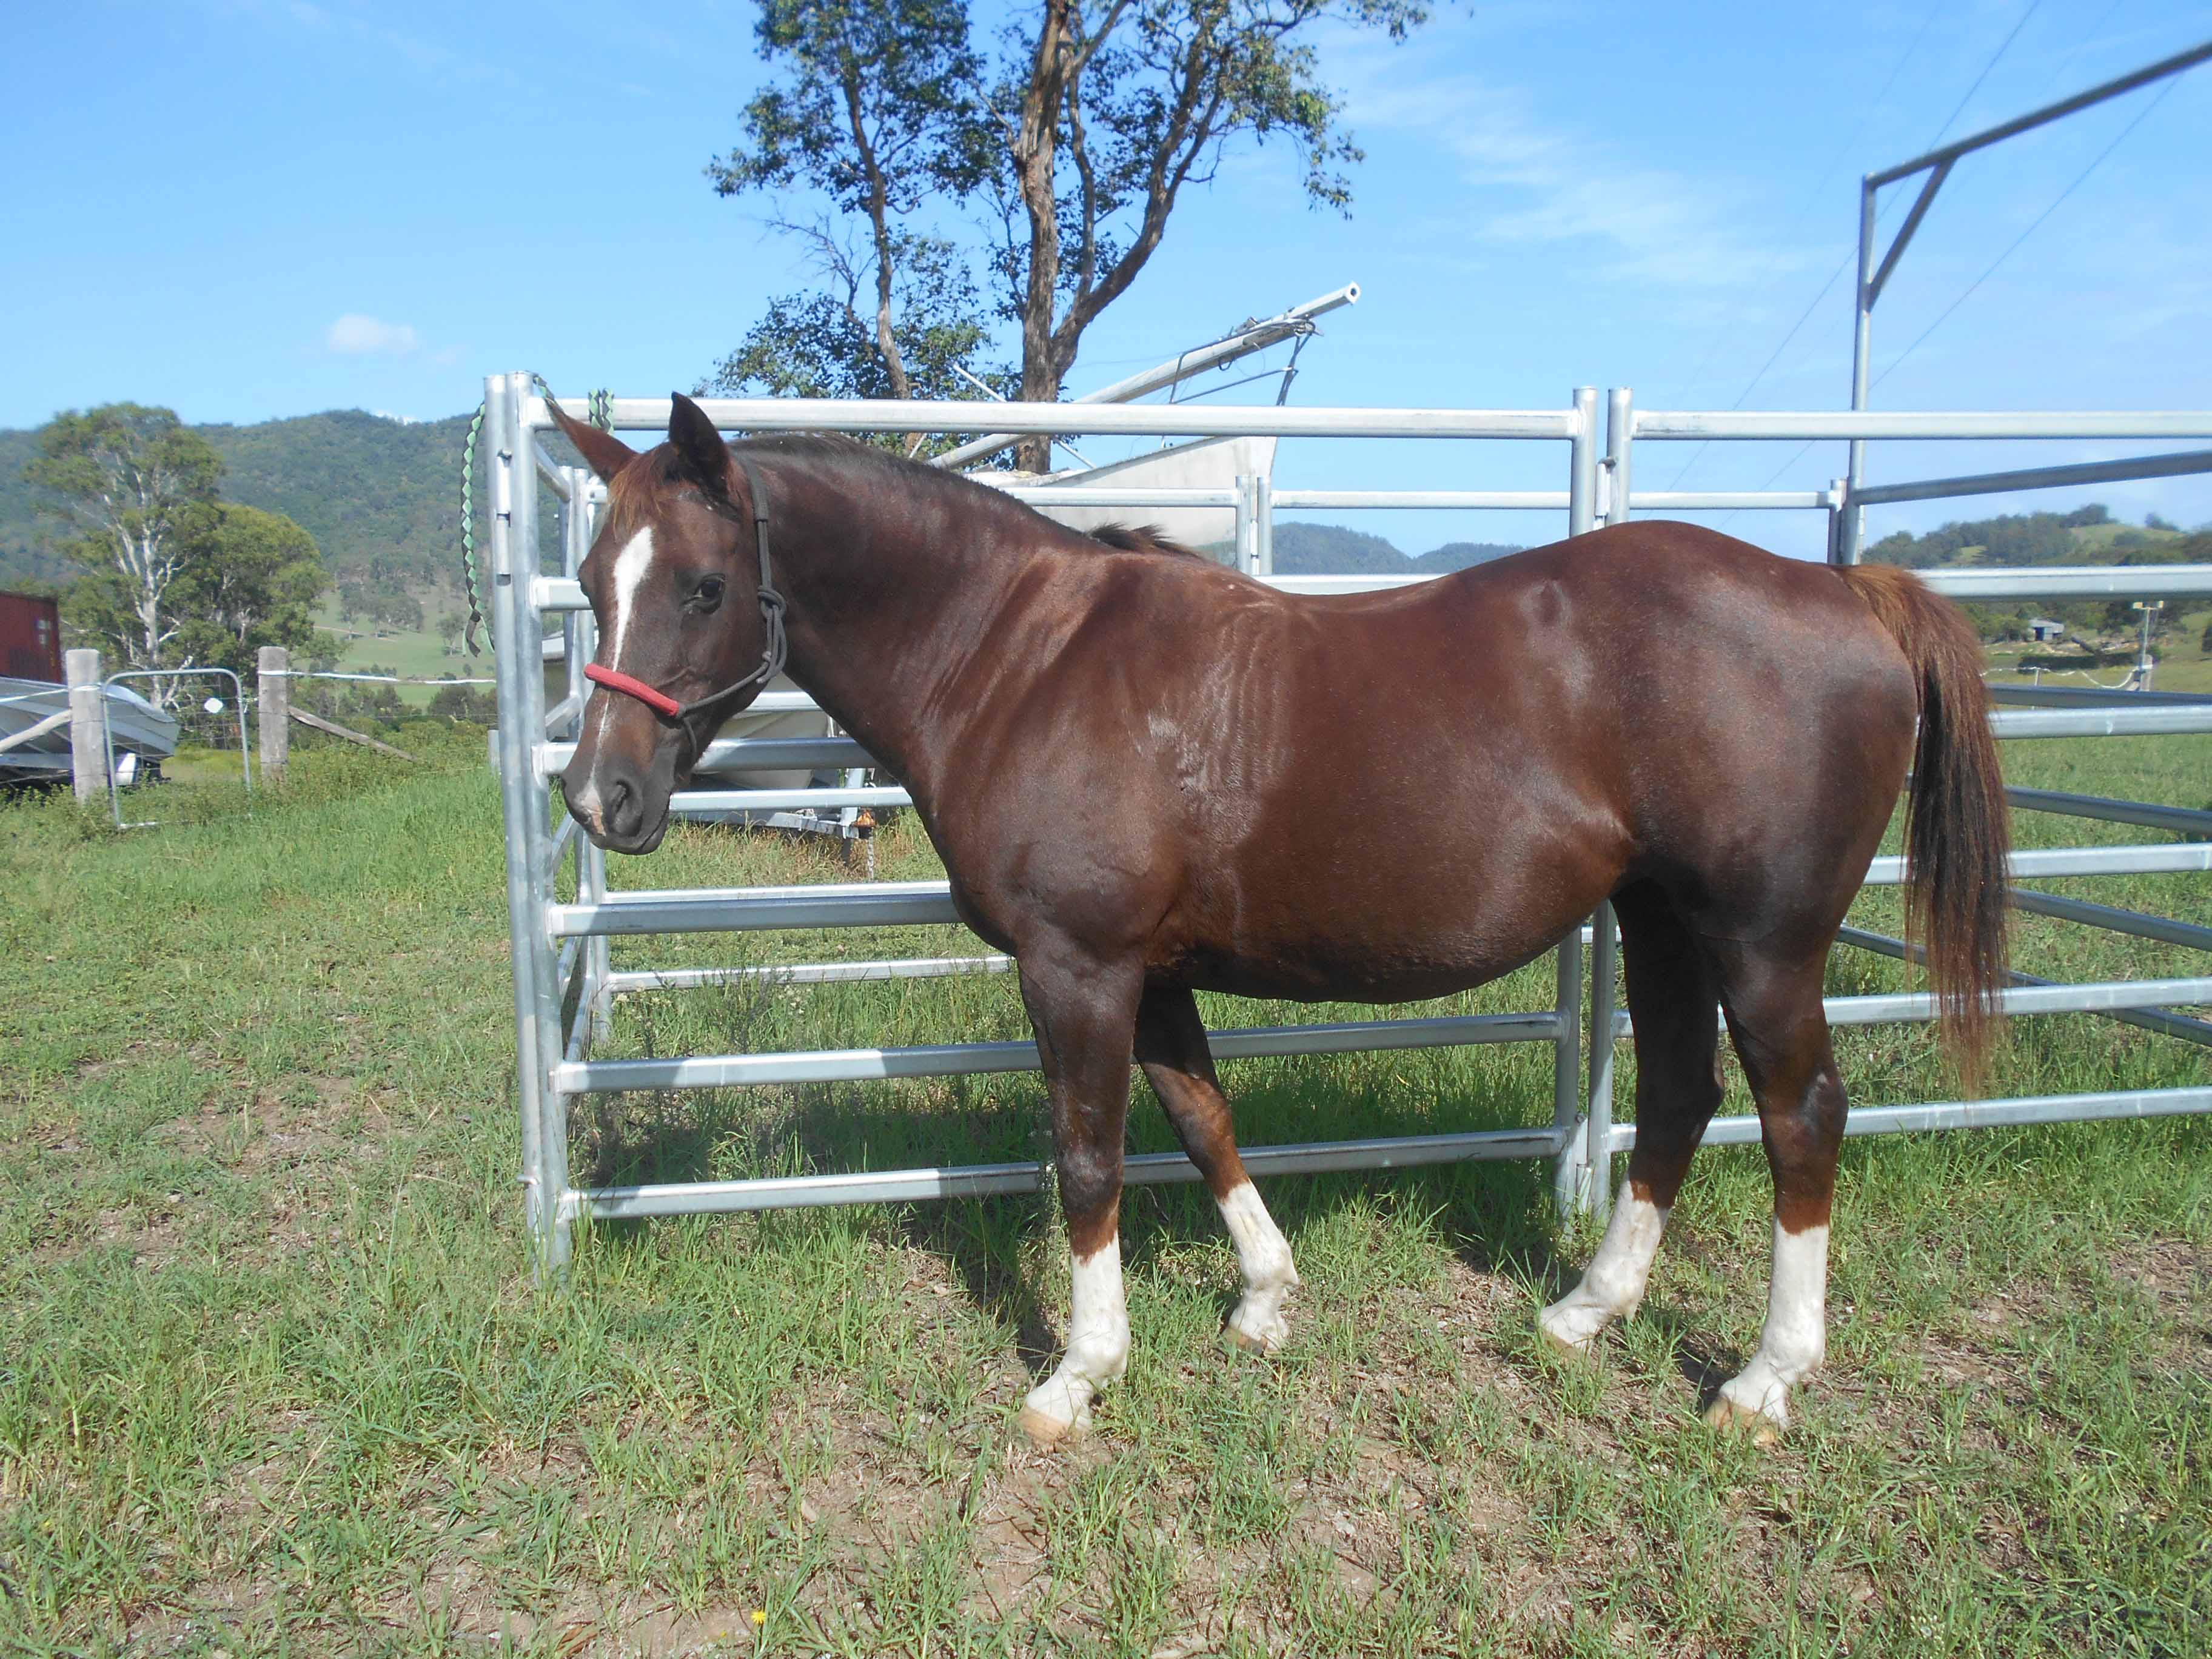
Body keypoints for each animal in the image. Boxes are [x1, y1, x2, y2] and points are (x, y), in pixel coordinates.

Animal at [548, 393, 2009, 1448]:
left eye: (699, 586)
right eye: (591, 577)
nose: (598, 797)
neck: (1021, 659)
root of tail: (1845, 594)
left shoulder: (1077, 968)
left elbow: (1088, 1159)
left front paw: (1079, 1373)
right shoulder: (1150, 971)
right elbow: (1201, 1118)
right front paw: (1264, 1299)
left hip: (1762, 948)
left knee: (1799, 1118)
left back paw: (1765, 1380)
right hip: (1657, 922)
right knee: (1675, 1095)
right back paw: (1586, 1312)